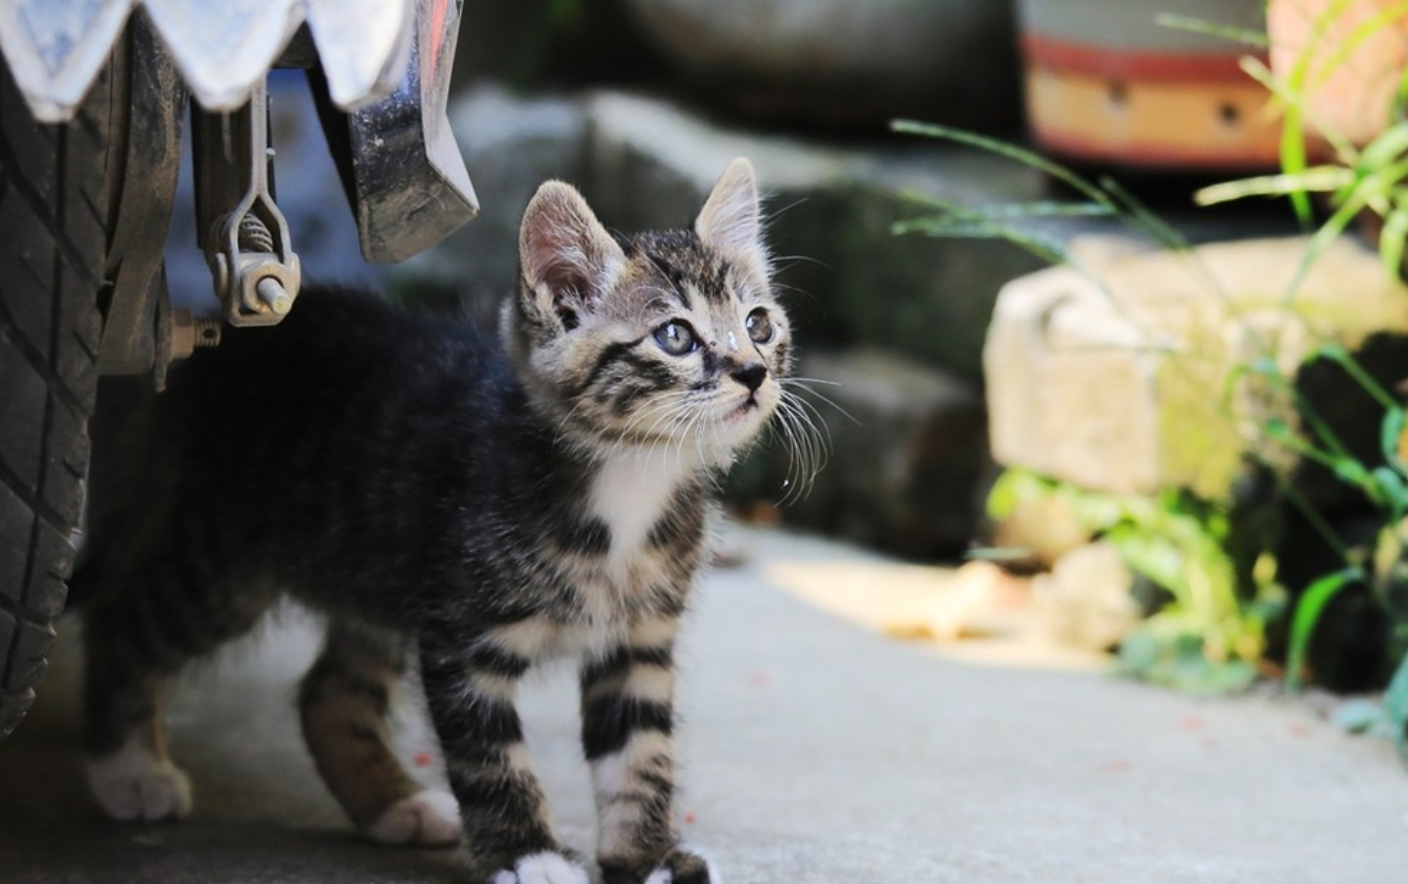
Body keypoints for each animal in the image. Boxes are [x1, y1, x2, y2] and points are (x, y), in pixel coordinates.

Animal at [74, 159, 794, 884]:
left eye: (759, 324)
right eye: (675, 336)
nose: (754, 372)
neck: (628, 484)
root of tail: (218, 342)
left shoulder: (637, 640)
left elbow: (640, 755)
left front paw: (646, 858)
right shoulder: (462, 636)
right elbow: (491, 759)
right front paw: (529, 855)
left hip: (374, 568)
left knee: (329, 693)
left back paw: (392, 804)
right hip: (225, 561)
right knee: (122, 618)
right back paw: (127, 769)